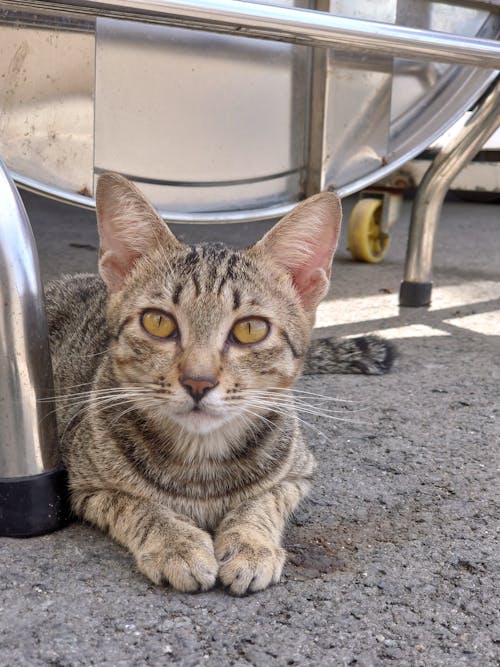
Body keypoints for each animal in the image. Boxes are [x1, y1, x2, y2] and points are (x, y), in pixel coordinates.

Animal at [44, 174, 394, 596]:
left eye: (250, 329)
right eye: (158, 322)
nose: (198, 381)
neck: (201, 462)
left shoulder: (298, 475)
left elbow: (261, 502)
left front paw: (250, 543)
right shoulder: (84, 484)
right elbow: (140, 505)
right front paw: (177, 542)